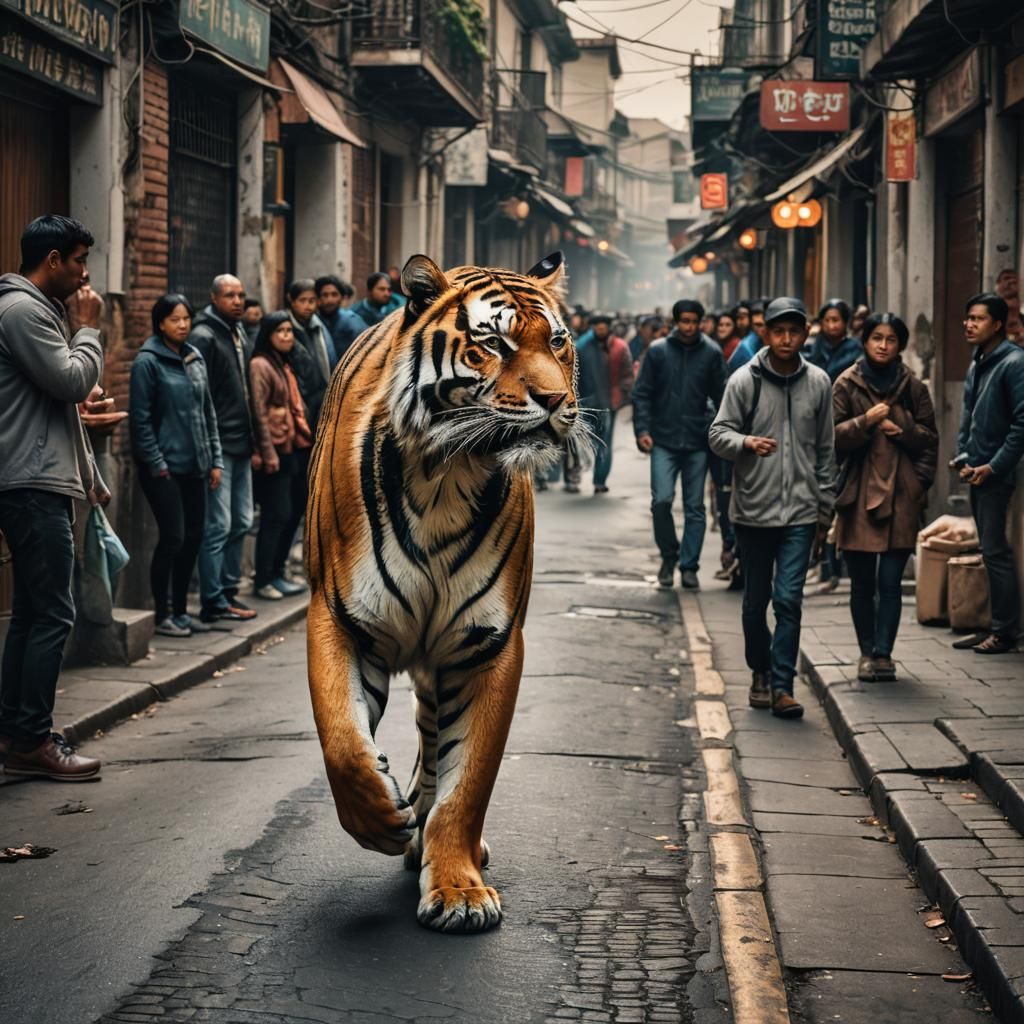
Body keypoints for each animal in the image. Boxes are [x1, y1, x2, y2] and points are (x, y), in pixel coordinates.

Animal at [304, 251, 583, 933]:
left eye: (557, 342)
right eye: (493, 343)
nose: (556, 401)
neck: (445, 475)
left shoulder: (487, 644)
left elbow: (469, 778)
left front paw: (458, 887)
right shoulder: (341, 618)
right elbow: (342, 737)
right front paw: (379, 818)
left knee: (435, 743)